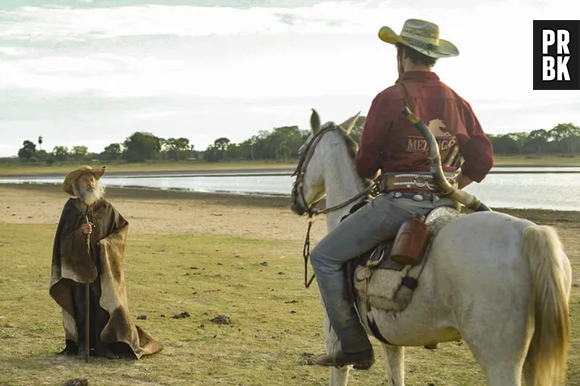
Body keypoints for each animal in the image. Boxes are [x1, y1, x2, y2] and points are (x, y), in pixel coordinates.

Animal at [292, 109, 572, 386]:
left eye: (301, 150)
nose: (295, 201)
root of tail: (529, 233)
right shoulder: (390, 340)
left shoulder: (334, 342)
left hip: (500, 360)